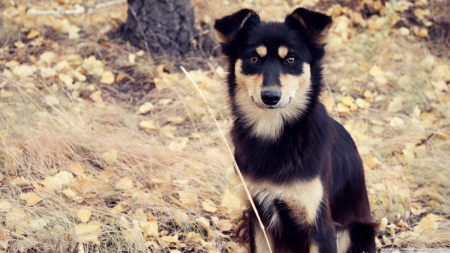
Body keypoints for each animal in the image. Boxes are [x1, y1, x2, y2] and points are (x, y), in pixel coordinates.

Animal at [214, 6, 376, 252]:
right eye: (254, 58)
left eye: (291, 59)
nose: (270, 97)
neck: (275, 133)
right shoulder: (257, 217)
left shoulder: (321, 225)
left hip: (353, 232)